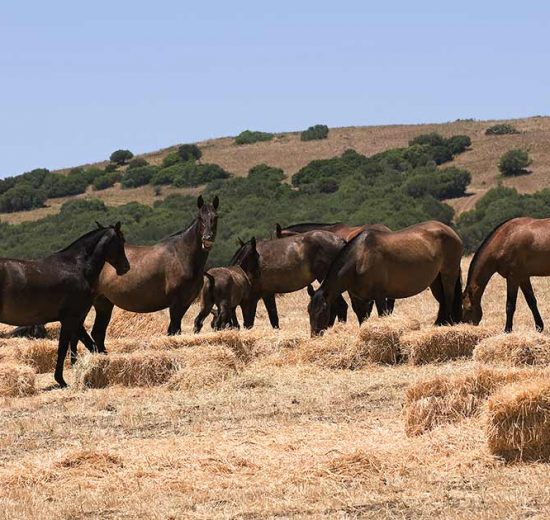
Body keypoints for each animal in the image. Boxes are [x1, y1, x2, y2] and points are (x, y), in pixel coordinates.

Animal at [0, 221, 129, 388]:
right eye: (122, 240)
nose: (126, 267)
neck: (77, 267)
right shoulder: (70, 319)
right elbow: (65, 348)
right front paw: (61, 380)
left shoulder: (76, 320)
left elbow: (86, 345)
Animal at [78, 195, 220, 354]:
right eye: (200, 217)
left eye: (215, 217)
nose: (207, 239)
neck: (181, 255)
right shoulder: (176, 303)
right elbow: (174, 330)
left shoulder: (186, 302)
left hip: (104, 302)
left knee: (97, 332)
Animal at [308, 220, 464, 336]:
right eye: (309, 311)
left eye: (323, 310)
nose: (315, 335)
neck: (360, 258)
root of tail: (451, 231)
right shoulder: (360, 299)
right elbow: (362, 319)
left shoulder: (380, 296)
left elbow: (382, 316)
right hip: (435, 280)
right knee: (442, 300)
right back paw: (440, 323)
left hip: (448, 274)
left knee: (449, 297)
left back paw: (448, 323)